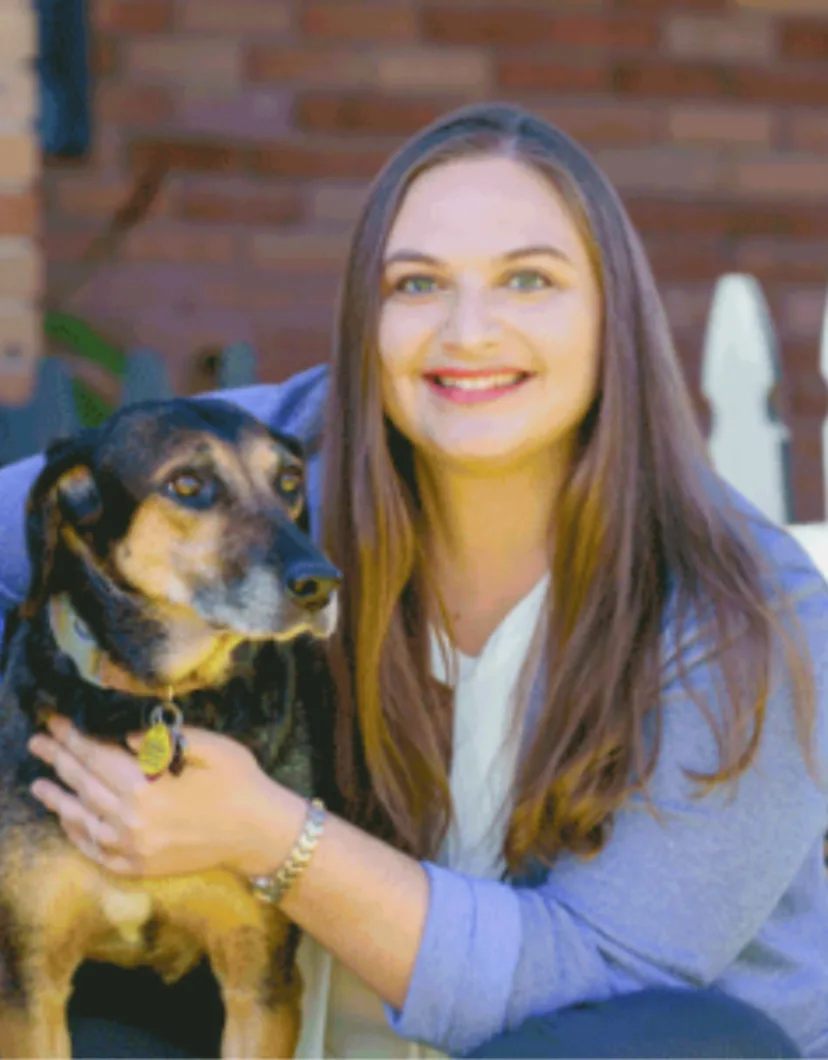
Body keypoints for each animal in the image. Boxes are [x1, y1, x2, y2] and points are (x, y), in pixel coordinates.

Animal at [0, 398, 339, 1060]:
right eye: (187, 484)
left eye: (289, 481)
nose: (322, 584)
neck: (151, 700)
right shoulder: (28, 986)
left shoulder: (259, 982)